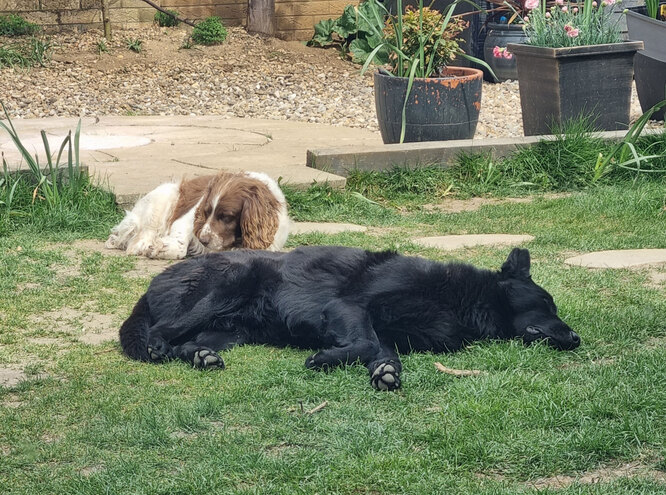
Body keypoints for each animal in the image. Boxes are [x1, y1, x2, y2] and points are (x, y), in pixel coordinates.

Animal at [105, 171, 286, 260]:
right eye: (206, 212)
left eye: (226, 217)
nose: (203, 240)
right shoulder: (189, 217)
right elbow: (180, 243)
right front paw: (160, 248)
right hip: (162, 197)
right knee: (141, 233)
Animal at [119, 246, 576, 390]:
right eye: (548, 304)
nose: (577, 339)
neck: (461, 297)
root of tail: (155, 280)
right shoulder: (349, 308)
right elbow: (366, 341)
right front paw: (325, 359)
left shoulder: (384, 331)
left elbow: (383, 351)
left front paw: (385, 373)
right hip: (227, 284)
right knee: (161, 333)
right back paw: (158, 346)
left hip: (228, 333)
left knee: (190, 345)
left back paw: (202, 358)